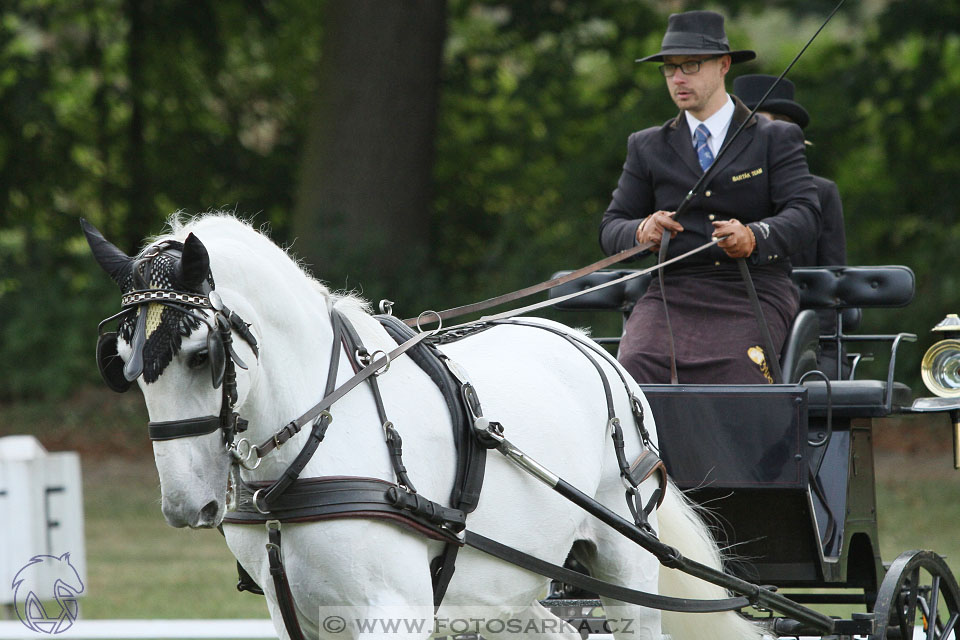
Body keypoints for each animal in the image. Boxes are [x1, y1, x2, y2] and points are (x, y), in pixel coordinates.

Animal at [84, 214, 756, 640]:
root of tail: (592, 346)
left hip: (628, 565)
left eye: (203, 356)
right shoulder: (293, 612)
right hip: (507, 585)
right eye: (121, 363)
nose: (184, 506)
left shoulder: (389, 610)